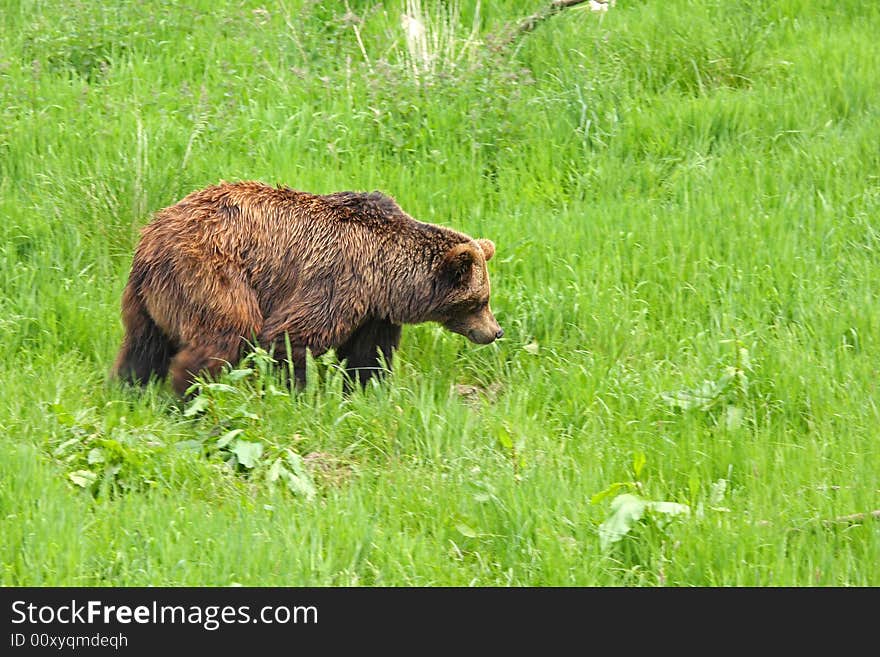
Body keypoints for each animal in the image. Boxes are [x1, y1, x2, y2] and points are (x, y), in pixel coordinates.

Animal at [111, 179, 502, 394]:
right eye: (479, 301)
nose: (496, 331)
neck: (387, 277)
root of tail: (152, 235)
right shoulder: (337, 281)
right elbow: (290, 337)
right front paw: (295, 390)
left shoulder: (373, 312)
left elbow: (369, 356)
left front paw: (366, 389)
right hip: (212, 271)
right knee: (224, 331)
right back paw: (196, 393)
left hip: (149, 296)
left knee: (143, 345)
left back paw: (130, 386)